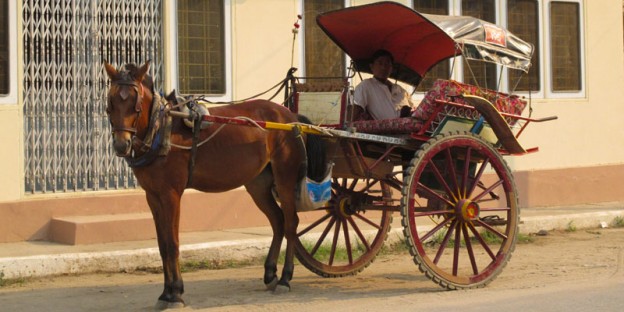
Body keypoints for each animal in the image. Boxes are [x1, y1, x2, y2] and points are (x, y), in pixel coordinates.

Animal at [104, 61, 324, 310]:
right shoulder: (152, 195)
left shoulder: (171, 194)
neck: (161, 128)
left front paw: (175, 293)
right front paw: (165, 293)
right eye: (111, 102)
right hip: (257, 184)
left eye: (136, 104)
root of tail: (291, 116)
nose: (121, 145)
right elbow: (162, 245)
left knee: (290, 222)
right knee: (278, 221)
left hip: (285, 177)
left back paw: (286, 277)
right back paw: (270, 273)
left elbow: (172, 243)